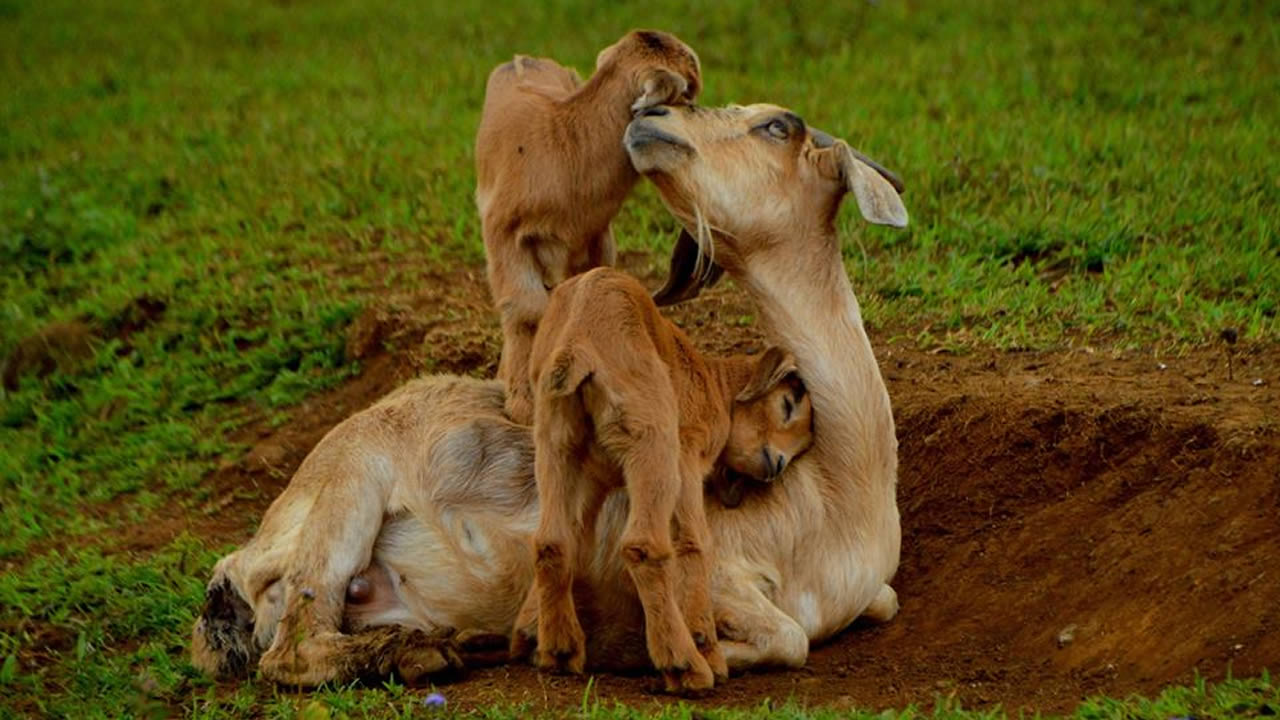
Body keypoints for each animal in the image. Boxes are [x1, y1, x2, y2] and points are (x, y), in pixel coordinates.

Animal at [192, 99, 911, 681]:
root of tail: (240, 563)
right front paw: (640, 651)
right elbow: (786, 635)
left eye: (777, 124)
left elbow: (876, 605)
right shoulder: (715, 561)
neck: (839, 496)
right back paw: (431, 652)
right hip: (345, 499)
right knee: (294, 649)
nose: (652, 116)